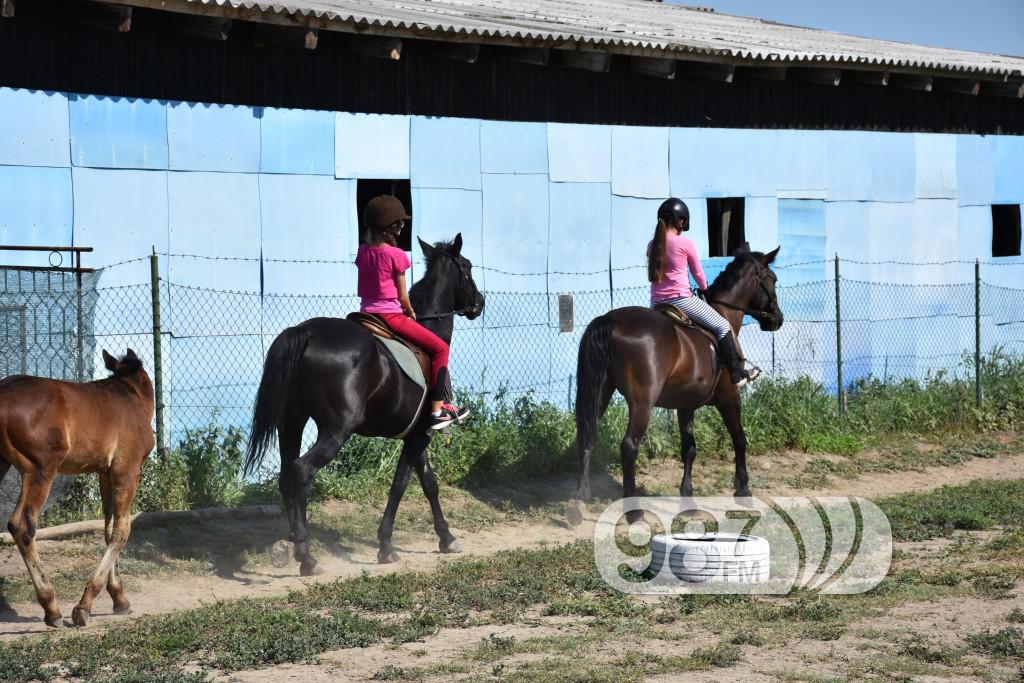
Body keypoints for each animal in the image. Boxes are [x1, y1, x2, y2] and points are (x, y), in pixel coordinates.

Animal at [0, 350, 153, 626]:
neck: (131, 394)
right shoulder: (127, 469)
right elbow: (122, 530)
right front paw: (84, 606)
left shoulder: (104, 472)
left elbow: (108, 528)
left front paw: (119, 598)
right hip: (40, 469)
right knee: (22, 525)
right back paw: (51, 608)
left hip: (3, 463)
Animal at [247, 233, 487, 573]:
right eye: (467, 267)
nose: (479, 302)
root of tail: (305, 332)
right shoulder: (421, 434)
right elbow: (401, 485)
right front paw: (386, 545)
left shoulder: (417, 434)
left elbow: (429, 482)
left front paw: (446, 537)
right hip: (336, 431)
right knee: (302, 471)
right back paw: (306, 555)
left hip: (291, 422)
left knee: (286, 475)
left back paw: (293, 542)